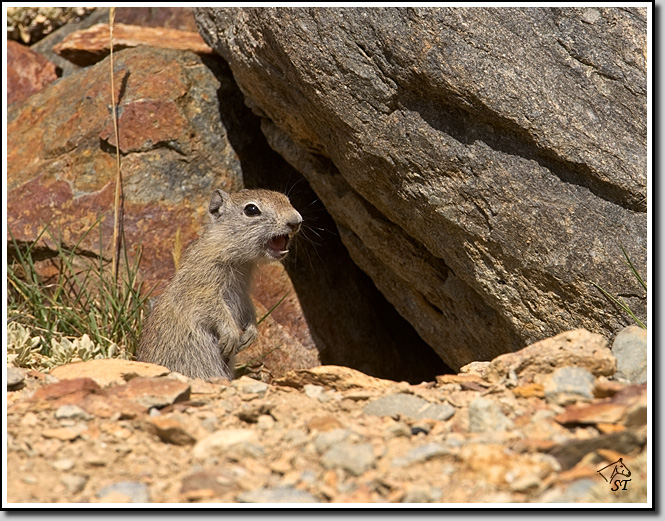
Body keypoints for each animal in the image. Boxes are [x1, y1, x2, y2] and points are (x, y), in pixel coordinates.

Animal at [137, 188, 302, 380]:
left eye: (287, 200)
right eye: (251, 209)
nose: (296, 221)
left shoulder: (243, 295)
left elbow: (249, 311)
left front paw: (249, 336)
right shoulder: (202, 290)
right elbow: (215, 311)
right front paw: (231, 338)